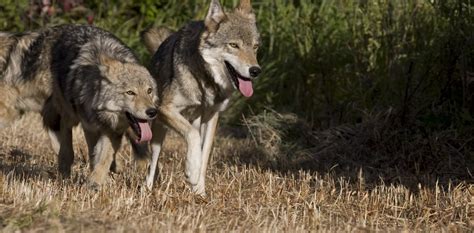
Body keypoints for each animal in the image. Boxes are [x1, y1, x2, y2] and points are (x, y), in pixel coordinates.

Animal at [0, 24, 159, 187]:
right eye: (130, 92)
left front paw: (95, 182)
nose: (152, 112)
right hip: (67, 115)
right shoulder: (88, 127)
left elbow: (104, 157)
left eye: (149, 91)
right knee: (67, 147)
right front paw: (93, 181)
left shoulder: (112, 131)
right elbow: (92, 154)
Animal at [141, 0, 262, 196]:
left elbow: (204, 155)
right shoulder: (165, 109)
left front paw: (200, 191)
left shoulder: (212, 118)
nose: (255, 71)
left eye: (255, 47)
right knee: (152, 165)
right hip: (158, 134)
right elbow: (193, 137)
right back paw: (147, 190)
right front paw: (191, 170)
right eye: (233, 45)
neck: (205, 82)